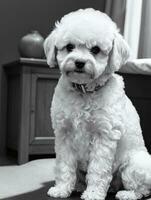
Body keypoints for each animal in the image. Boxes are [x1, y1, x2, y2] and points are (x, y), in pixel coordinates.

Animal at [43, 8, 151, 200]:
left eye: (96, 49)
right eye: (69, 47)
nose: (79, 62)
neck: (84, 92)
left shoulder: (104, 136)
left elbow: (98, 169)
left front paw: (93, 193)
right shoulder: (64, 134)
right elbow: (64, 166)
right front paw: (62, 188)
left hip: (134, 165)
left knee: (142, 189)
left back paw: (126, 194)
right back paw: (79, 186)